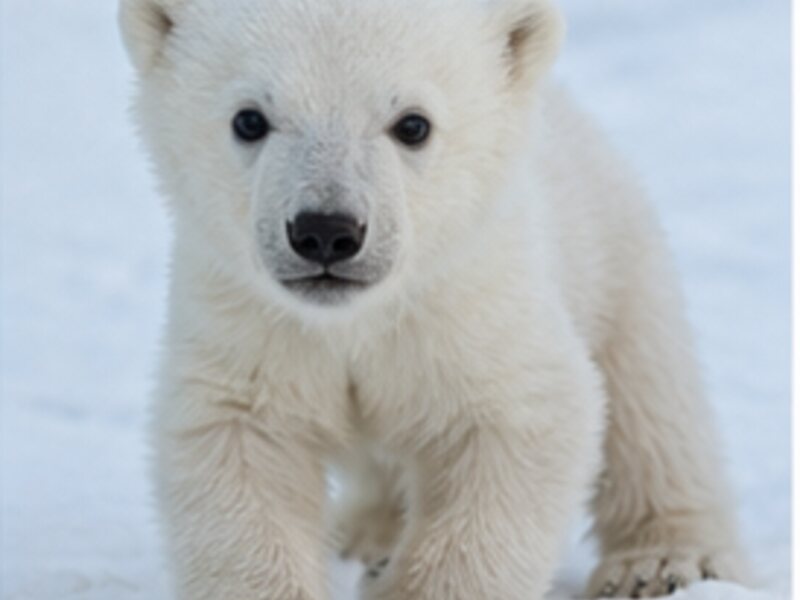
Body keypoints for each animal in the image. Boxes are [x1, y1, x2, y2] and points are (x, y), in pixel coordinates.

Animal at [119, 0, 748, 598]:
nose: (326, 231)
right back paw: (364, 535)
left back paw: (664, 561)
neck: (361, 316)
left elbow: (523, 421)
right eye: (249, 119)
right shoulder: (247, 319)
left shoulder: (476, 305)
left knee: (651, 404)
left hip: (613, 249)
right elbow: (241, 447)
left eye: (412, 124)